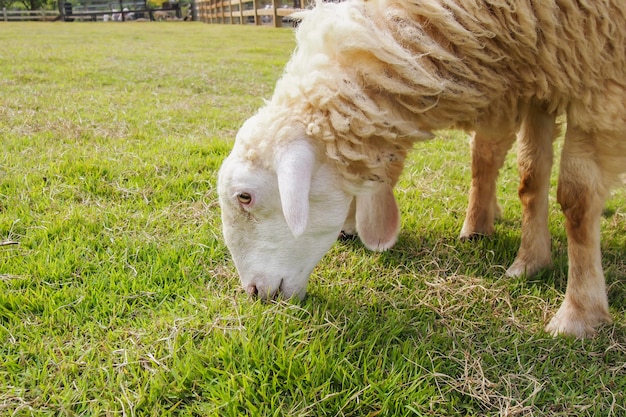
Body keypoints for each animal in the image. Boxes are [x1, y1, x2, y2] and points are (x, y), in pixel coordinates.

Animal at [216, 0, 624, 338]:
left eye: (245, 197)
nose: (253, 292)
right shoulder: (543, 76)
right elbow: (529, 177)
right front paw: (530, 263)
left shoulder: (598, 74)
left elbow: (576, 197)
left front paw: (578, 313)